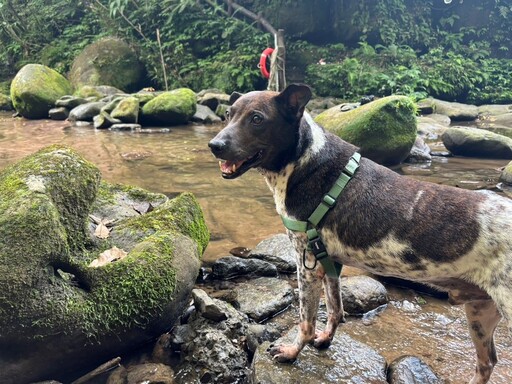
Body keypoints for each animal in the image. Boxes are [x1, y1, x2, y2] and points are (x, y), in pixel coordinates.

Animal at [209, 84, 512, 384]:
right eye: (228, 114)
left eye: (257, 119)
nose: (215, 146)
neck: (305, 161)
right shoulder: (330, 262)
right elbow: (335, 310)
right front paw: (325, 339)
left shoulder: (307, 264)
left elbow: (306, 322)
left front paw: (292, 352)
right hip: (480, 312)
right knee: (487, 362)